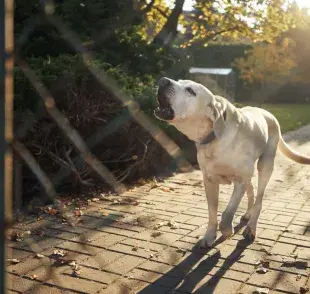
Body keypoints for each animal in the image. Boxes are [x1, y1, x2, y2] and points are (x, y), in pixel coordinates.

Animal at [154, 77, 310, 247]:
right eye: (179, 81)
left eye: (191, 91)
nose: (163, 80)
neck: (214, 139)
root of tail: (269, 114)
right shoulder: (209, 181)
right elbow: (212, 213)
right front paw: (209, 236)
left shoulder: (240, 180)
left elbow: (228, 212)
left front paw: (227, 231)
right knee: (252, 191)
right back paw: (248, 214)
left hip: (265, 165)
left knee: (259, 199)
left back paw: (251, 228)